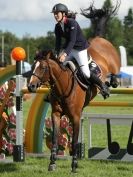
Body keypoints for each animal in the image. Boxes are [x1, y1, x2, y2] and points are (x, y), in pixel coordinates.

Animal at [27, 36, 120, 172]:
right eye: (33, 67)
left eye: (43, 68)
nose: (31, 86)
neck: (63, 87)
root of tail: (100, 39)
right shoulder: (56, 114)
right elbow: (55, 138)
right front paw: (52, 163)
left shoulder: (76, 117)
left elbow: (74, 141)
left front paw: (74, 164)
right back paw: (107, 86)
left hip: (114, 64)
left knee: (115, 72)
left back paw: (110, 84)